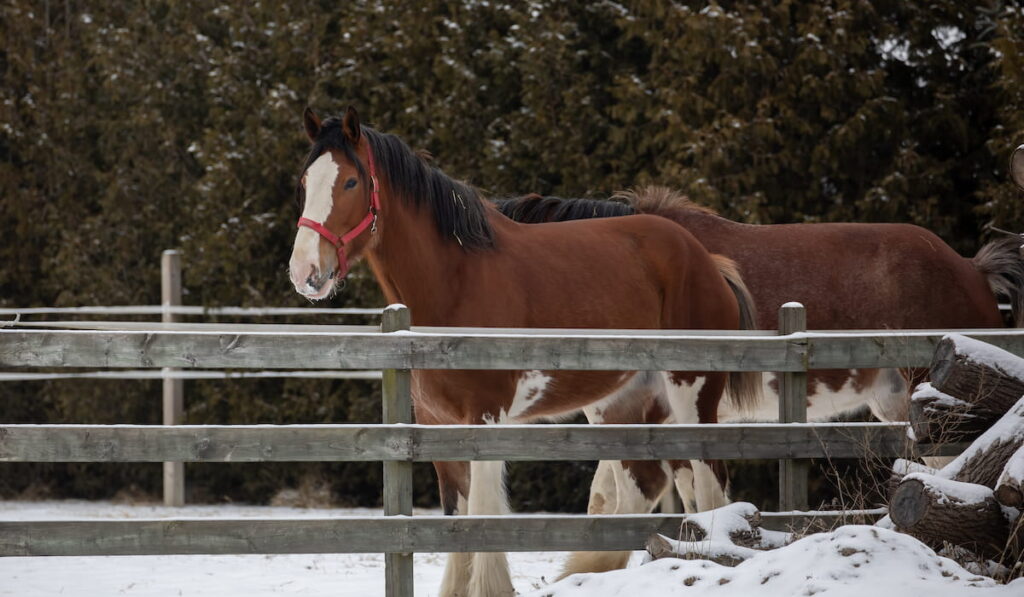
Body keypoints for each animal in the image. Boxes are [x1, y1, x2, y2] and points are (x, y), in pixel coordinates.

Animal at [288, 108, 761, 597]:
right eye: (304, 181)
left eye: (350, 182)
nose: (305, 272)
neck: (455, 282)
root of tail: (707, 261)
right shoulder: (439, 424)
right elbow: (455, 520)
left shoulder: (485, 419)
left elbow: (482, 516)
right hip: (619, 405)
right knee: (641, 488)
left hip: (693, 394)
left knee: (709, 484)